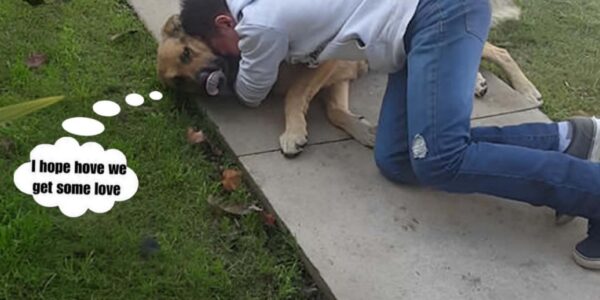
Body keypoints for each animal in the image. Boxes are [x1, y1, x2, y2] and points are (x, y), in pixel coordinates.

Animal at [157, 0, 540, 158]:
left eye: (188, 53)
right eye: (180, 81)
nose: (207, 81)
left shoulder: (331, 59)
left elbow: (296, 95)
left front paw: (293, 132)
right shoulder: (338, 77)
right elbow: (334, 112)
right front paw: (362, 129)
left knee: (498, 50)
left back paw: (525, 87)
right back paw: (476, 82)